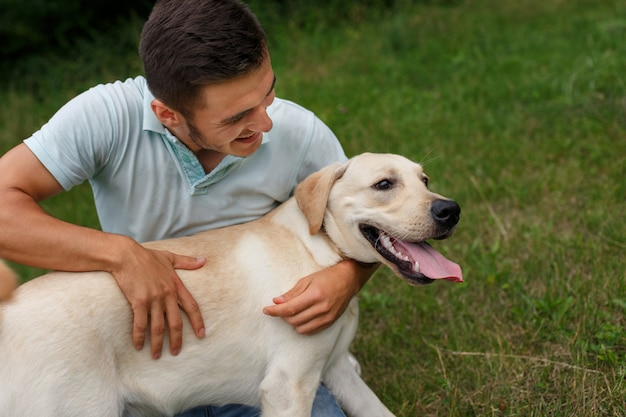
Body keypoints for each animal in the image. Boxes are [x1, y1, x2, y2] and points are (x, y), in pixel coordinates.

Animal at [0, 153, 458, 416]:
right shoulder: (288, 387)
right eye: (384, 184)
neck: (319, 248)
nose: (451, 210)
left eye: (425, 180)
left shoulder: (336, 370)